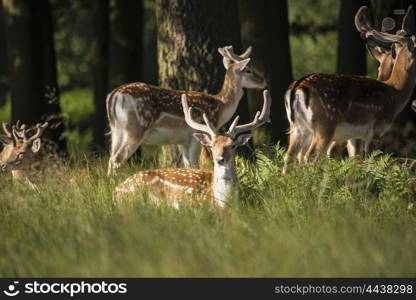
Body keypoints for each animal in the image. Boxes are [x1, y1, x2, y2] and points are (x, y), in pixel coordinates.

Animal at [105, 45, 264, 176]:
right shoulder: (195, 134)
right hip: (136, 128)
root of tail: (113, 96)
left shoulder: (183, 141)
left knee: (111, 157)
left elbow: (188, 165)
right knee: (117, 159)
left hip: (116, 130)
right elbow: (195, 164)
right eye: (248, 70)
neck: (220, 106)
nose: (264, 81)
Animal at [282, 4, 416, 175]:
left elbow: (355, 159)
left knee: (289, 157)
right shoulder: (376, 129)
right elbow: (370, 160)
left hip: (298, 128)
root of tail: (297, 88)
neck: (395, 94)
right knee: (311, 156)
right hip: (325, 124)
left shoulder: (353, 136)